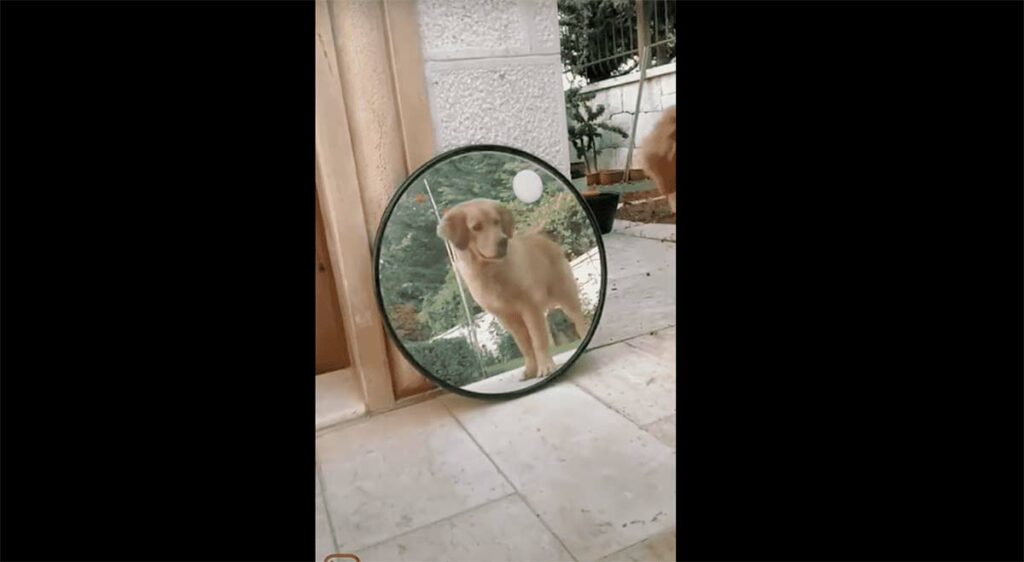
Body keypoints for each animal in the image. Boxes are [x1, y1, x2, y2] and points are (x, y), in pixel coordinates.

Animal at [436, 198, 589, 380]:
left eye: (496, 222)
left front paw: (545, 367)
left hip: (566, 295)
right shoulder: (507, 317)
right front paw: (531, 370)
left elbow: (538, 341)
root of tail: (541, 237)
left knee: (579, 321)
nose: (503, 241)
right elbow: (525, 346)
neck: (490, 271)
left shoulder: (530, 308)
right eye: (476, 227)